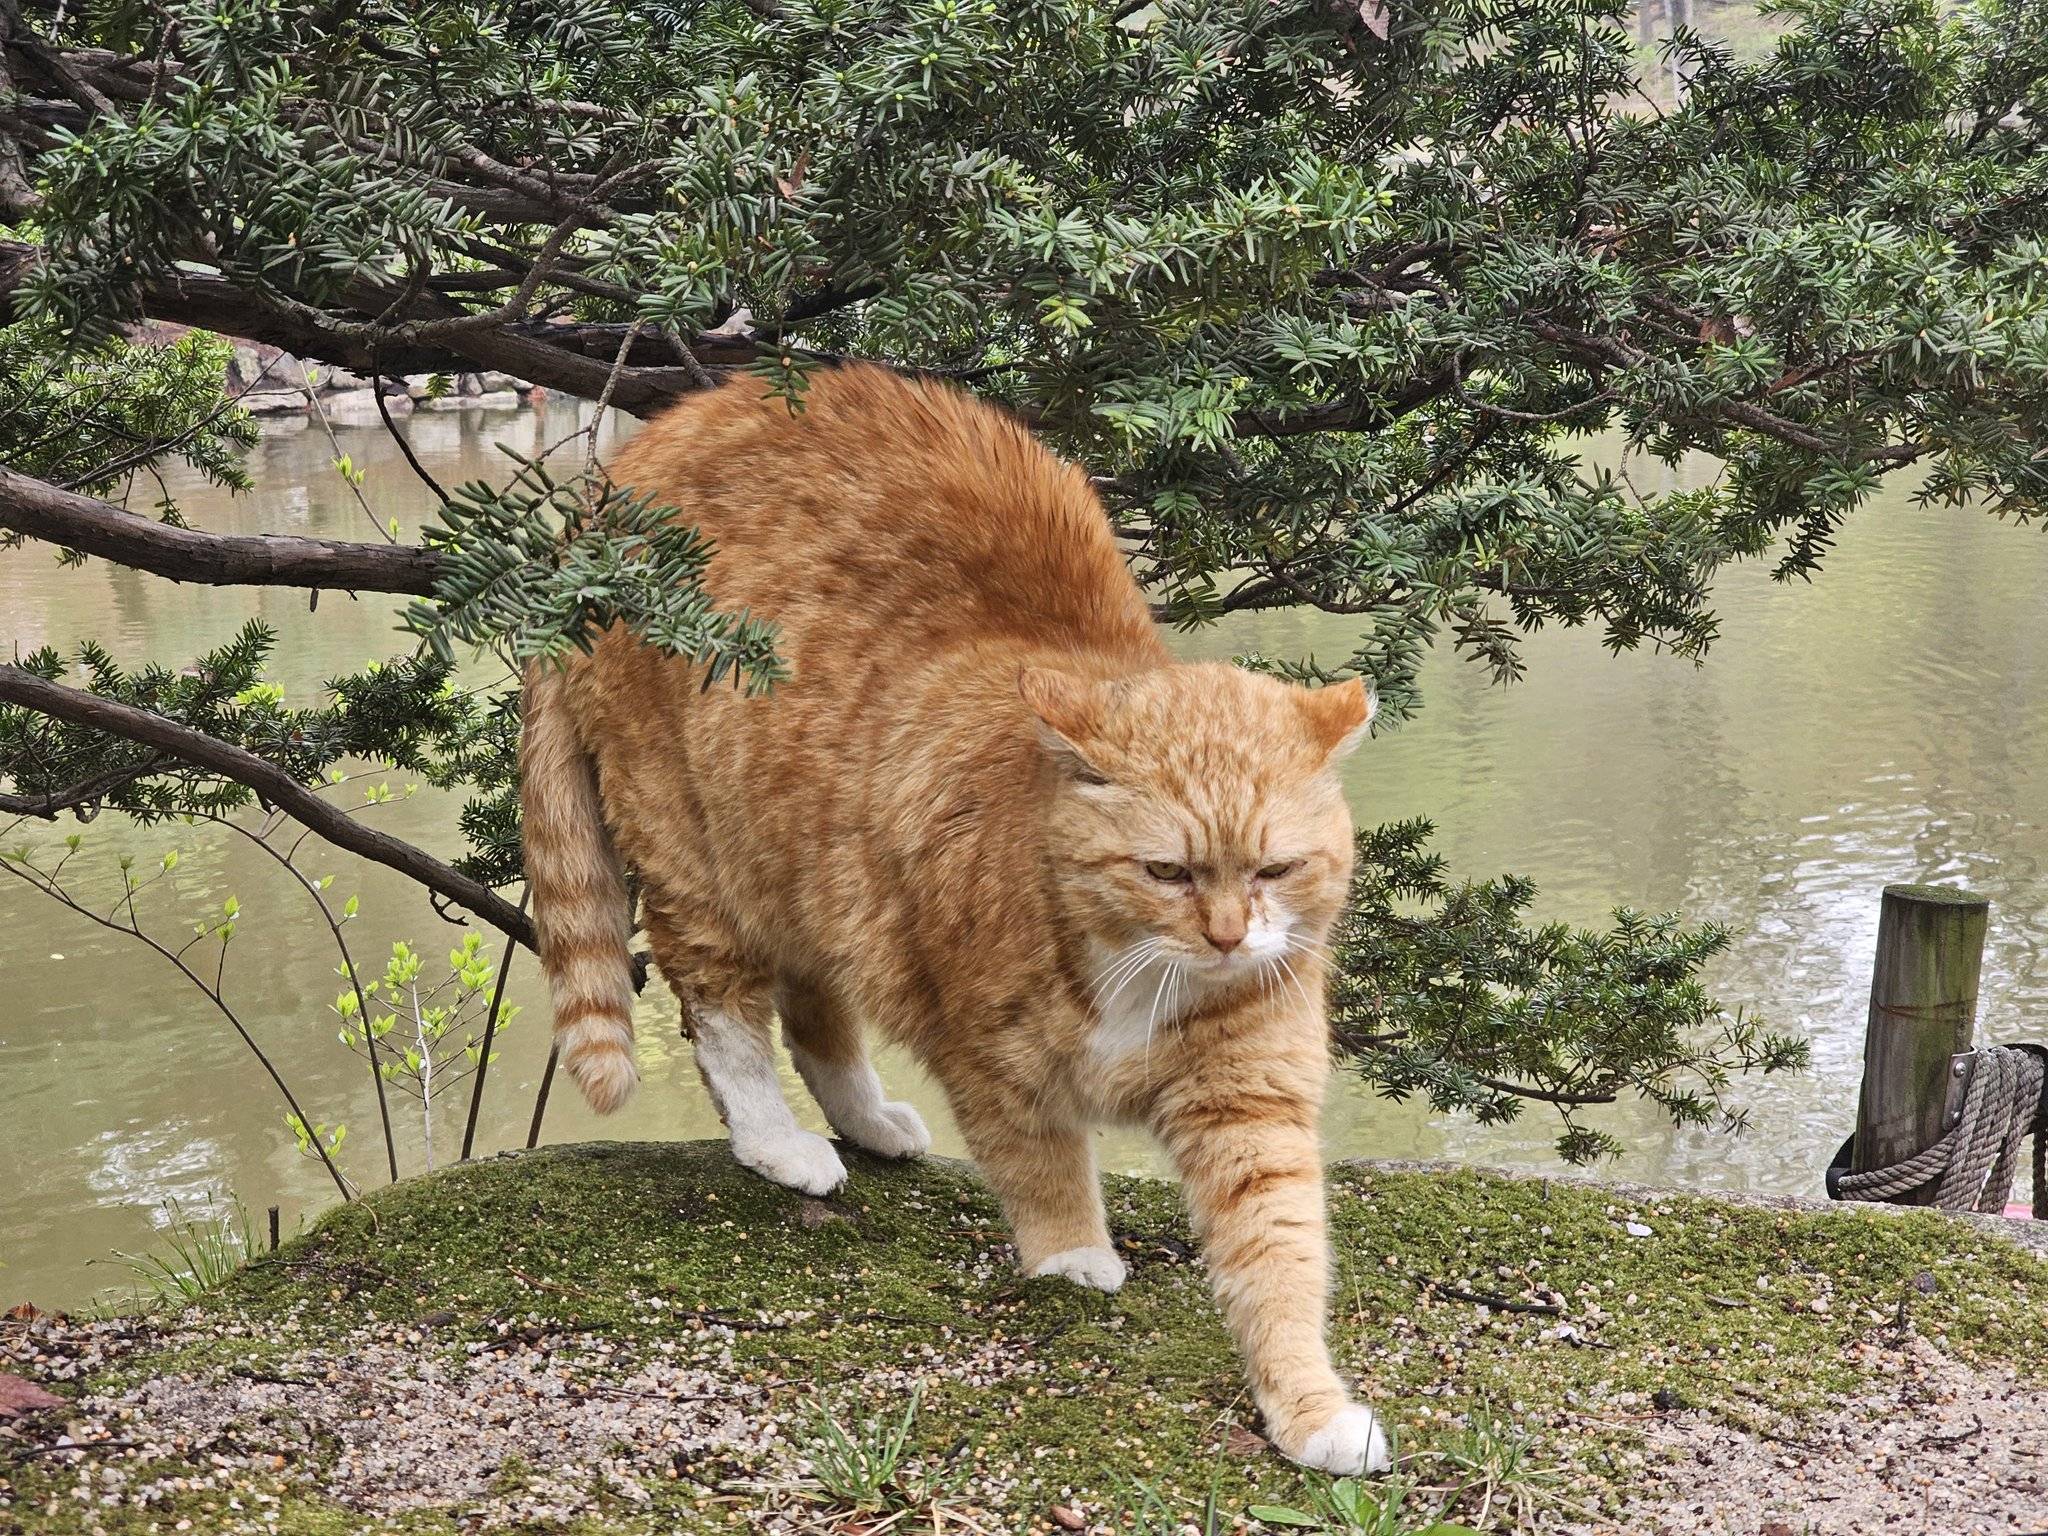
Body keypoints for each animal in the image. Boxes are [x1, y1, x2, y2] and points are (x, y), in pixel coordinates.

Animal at [528, 364, 1392, 1482]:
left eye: (1275, 869)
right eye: (1165, 871)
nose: (1229, 939)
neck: (1134, 967)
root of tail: (633, 460)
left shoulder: (1251, 1106)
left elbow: (1278, 1261)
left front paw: (1309, 1408)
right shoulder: (993, 1060)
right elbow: (1041, 1164)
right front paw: (1073, 1256)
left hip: (807, 859)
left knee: (816, 1013)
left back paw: (865, 1120)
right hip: (698, 853)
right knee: (724, 1019)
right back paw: (781, 1145)